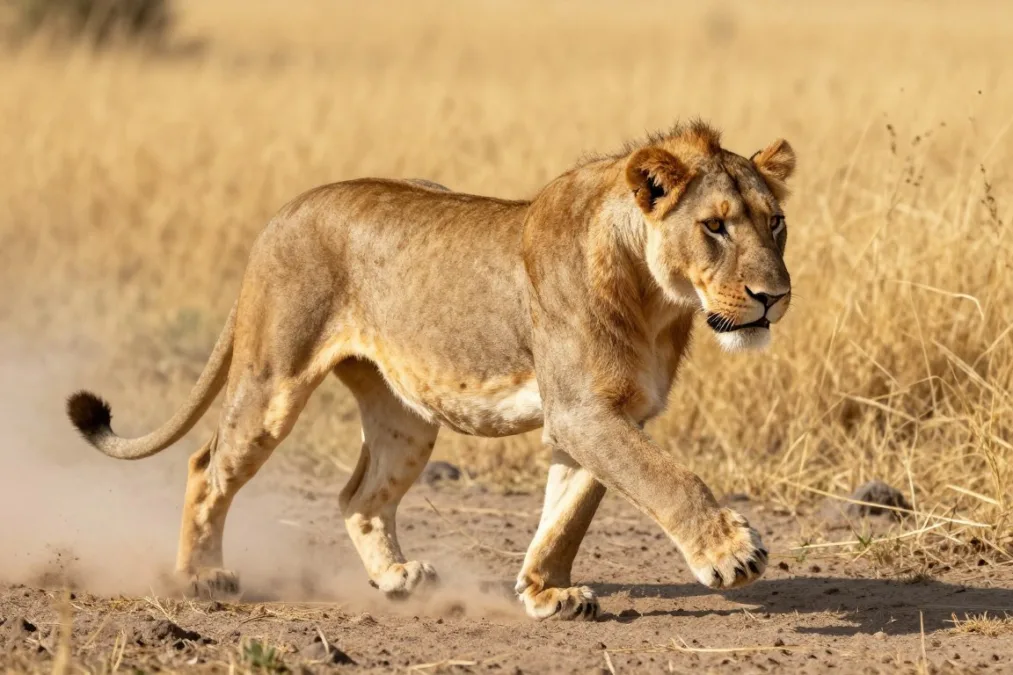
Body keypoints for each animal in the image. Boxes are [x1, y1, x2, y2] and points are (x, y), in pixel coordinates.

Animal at [67, 120, 795, 620]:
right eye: (715, 226)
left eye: (776, 223)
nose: (773, 296)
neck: (659, 299)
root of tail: (284, 211)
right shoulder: (582, 410)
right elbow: (668, 480)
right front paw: (729, 553)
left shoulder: (608, 414)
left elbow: (567, 514)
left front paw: (546, 591)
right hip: (273, 380)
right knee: (206, 465)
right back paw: (201, 576)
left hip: (406, 418)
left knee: (358, 497)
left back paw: (396, 578)